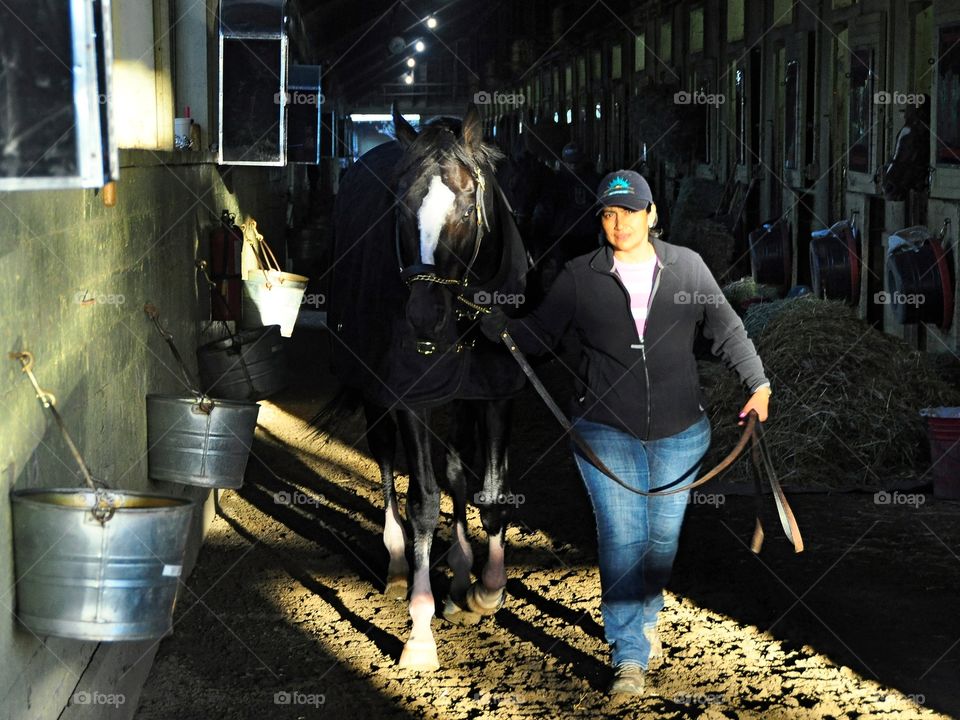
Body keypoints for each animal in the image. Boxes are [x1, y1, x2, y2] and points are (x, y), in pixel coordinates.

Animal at [326, 104, 528, 672]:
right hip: (376, 392)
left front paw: (486, 588)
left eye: (467, 207)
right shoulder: (409, 399)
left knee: (457, 471)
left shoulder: (496, 391)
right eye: (399, 206)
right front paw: (420, 631)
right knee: (385, 459)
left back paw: (460, 571)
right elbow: (422, 502)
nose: (421, 317)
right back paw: (398, 565)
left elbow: (490, 491)